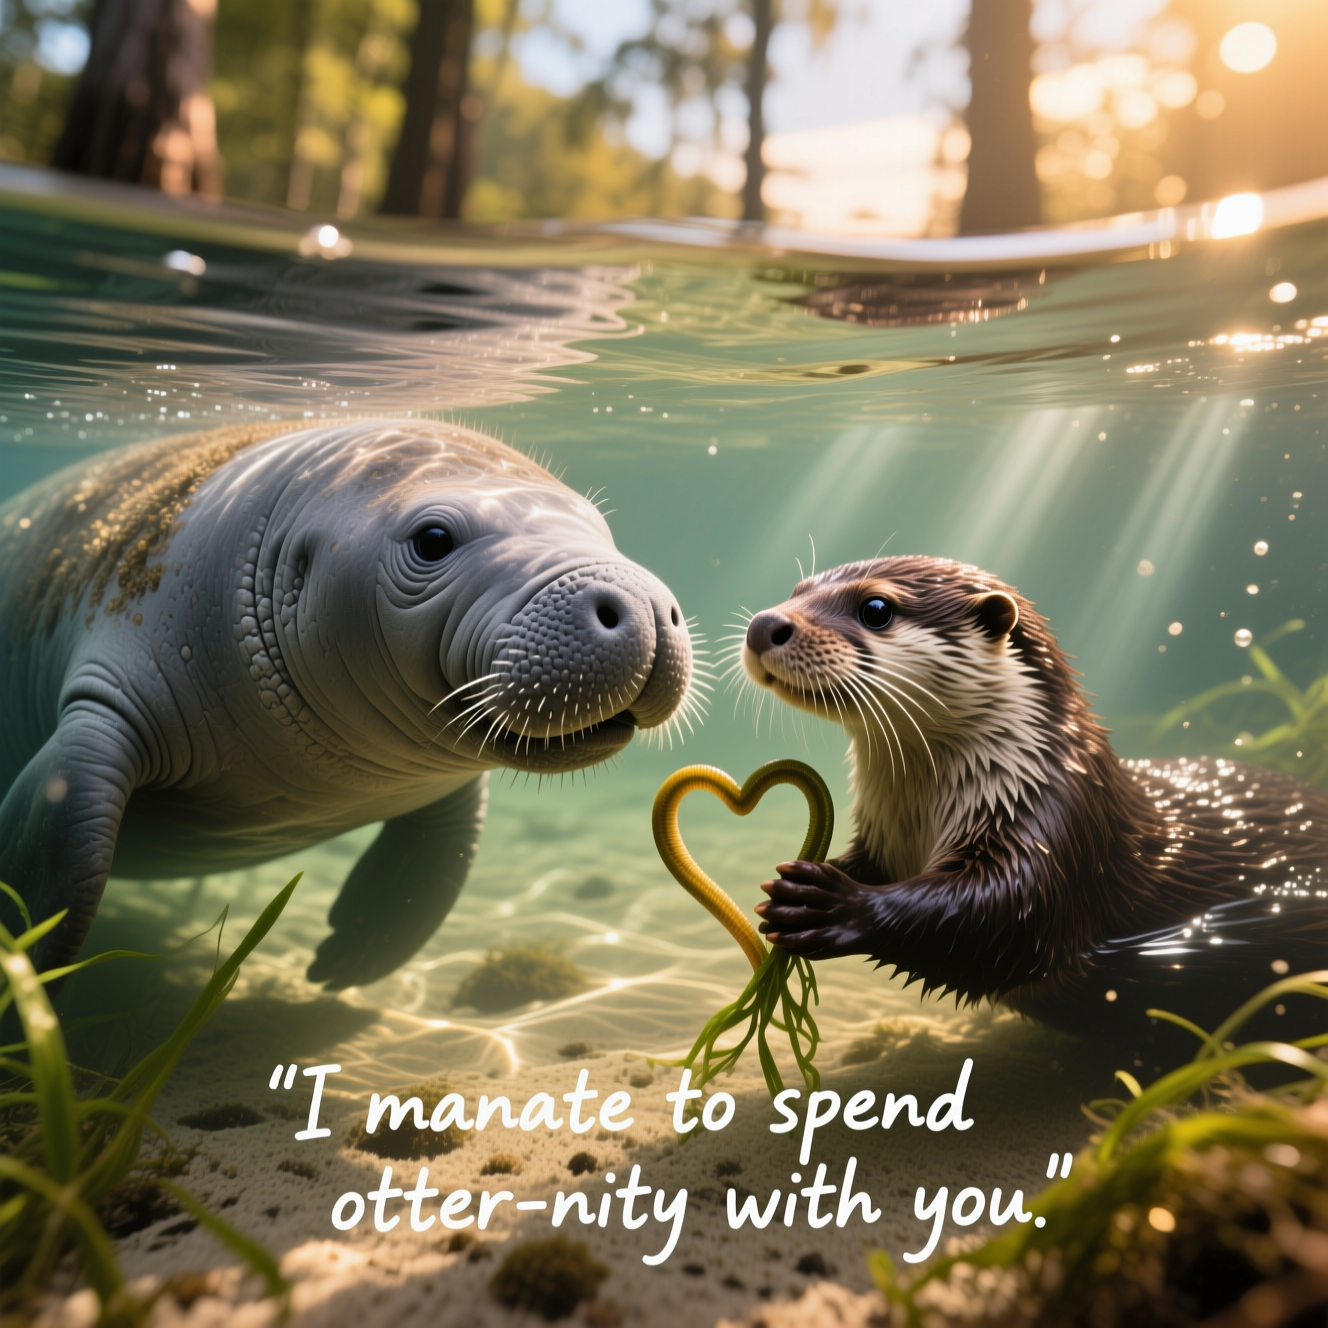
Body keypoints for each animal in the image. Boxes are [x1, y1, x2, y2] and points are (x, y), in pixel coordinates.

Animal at [743, 556, 1328, 1041]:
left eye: (876, 609)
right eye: (797, 590)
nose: (763, 624)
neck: (922, 815)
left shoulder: (1057, 822)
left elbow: (1008, 919)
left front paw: (832, 902)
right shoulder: (885, 837)